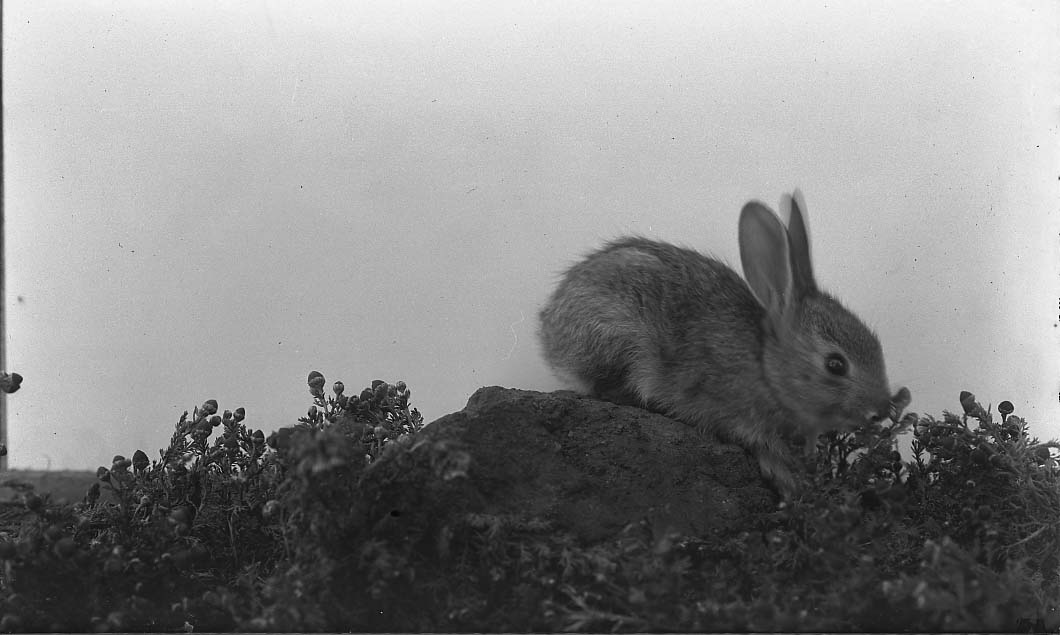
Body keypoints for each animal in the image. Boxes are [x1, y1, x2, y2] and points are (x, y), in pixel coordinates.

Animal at [538, 191, 910, 498]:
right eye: (835, 364)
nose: (881, 408)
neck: (767, 367)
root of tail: (548, 328)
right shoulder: (734, 411)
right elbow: (760, 444)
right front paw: (790, 477)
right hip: (618, 334)